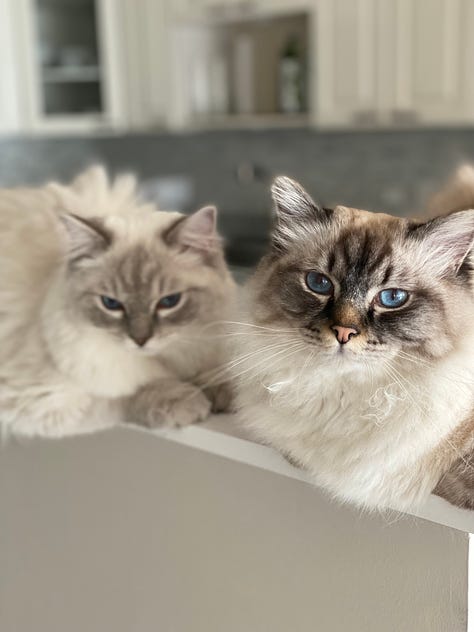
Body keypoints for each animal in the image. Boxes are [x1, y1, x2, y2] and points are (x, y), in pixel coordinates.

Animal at [0, 165, 236, 436]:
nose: (140, 340)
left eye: (169, 301)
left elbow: (218, 374)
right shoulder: (46, 397)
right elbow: (127, 393)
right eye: (111, 304)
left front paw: (224, 392)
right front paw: (186, 402)